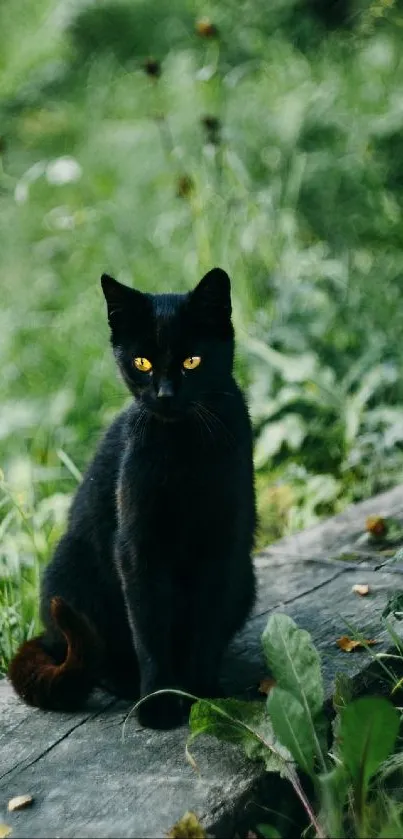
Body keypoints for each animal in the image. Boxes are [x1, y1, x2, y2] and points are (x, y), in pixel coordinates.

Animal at [9, 270, 258, 728]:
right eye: (142, 363)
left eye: (192, 361)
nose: (164, 395)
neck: (184, 450)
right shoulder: (138, 548)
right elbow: (149, 630)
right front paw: (159, 703)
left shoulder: (222, 547)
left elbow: (206, 627)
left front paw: (204, 696)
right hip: (73, 574)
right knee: (96, 657)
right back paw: (127, 683)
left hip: (246, 577)